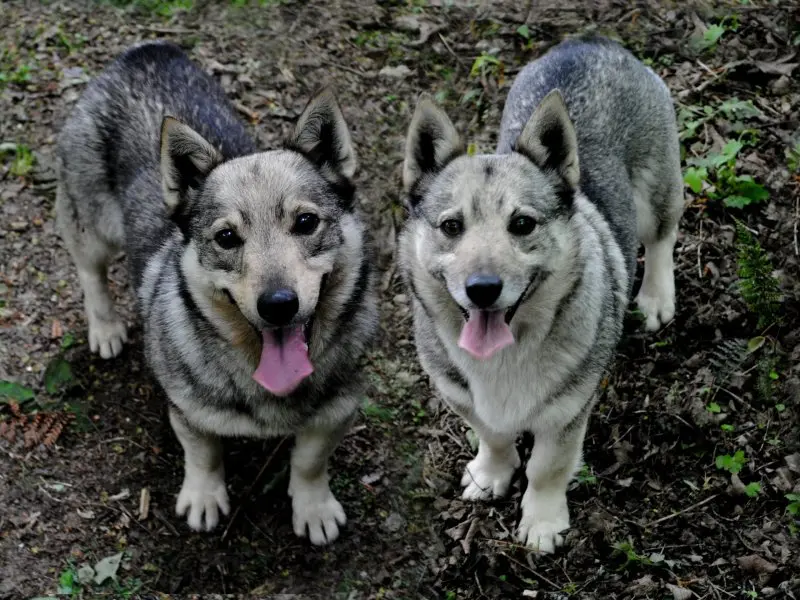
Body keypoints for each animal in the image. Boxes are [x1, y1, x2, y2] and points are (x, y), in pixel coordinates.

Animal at [55, 42, 378, 548]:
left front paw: (313, 506)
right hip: (90, 224)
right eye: (227, 238)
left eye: (306, 222)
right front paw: (204, 496)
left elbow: (310, 462)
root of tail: (144, 52)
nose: (278, 304)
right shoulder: (188, 411)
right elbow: (203, 454)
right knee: (90, 271)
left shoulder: (337, 411)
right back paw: (105, 326)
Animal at [398, 36, 680, 552]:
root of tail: (591, 42)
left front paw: (543, 520)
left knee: (661, 237)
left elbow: (548, 466)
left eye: (523, 224)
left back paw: (655, 296)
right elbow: (492, 436)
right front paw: (493, 472)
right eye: (451, 226)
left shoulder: (568, 410)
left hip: (657, 191)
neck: (505, 356)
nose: (482, 290)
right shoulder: (463, 397)